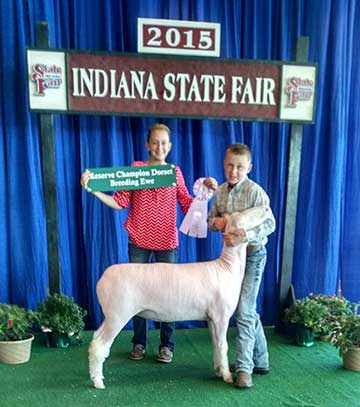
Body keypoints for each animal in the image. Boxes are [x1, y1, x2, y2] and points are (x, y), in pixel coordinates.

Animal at [88, 206, 272, 390]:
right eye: (243, 216)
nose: (266, 208)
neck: (227, 268)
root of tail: (102, 279)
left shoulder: (211, 318)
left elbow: (215, 345)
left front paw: (219, 371)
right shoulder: (221, 316)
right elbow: (223, 346)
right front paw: (227, 376)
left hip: (110, 315)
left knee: (95, 337)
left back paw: (98, 376)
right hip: (118, 314)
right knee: (99, 345)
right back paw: (98, 382)